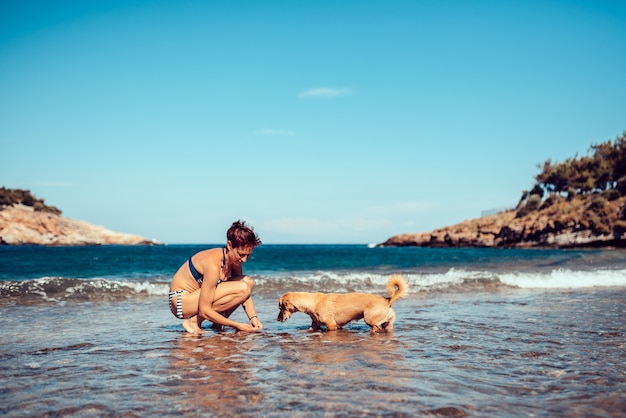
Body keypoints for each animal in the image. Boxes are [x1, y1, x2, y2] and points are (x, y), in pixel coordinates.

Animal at [276, 274, 408, 334]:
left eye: (280, 308)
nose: (277, 319)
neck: (313, 302)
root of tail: (387, 300)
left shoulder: (331, 326)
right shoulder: (315, 325)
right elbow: (311, 328)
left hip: (369, 319)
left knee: (376, 328)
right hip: (388, 324)